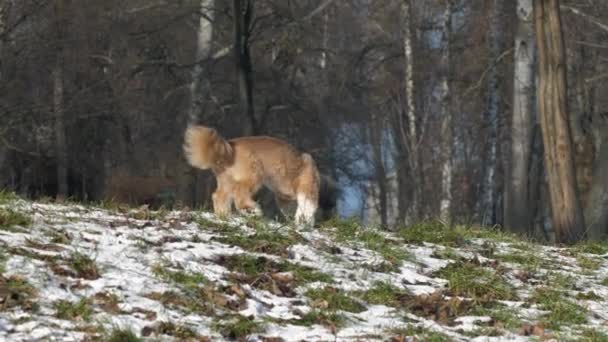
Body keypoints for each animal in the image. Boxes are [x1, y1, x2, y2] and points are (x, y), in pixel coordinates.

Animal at [182, 124, 320, 226]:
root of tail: (230, 147)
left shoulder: (286, 198)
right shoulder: (307, 188)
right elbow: (309, 207)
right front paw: (307, 223)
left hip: (227, 180)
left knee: (218, 196)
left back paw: (224, 216)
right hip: (253, 175)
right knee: (240, 195)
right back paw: (251, 210)